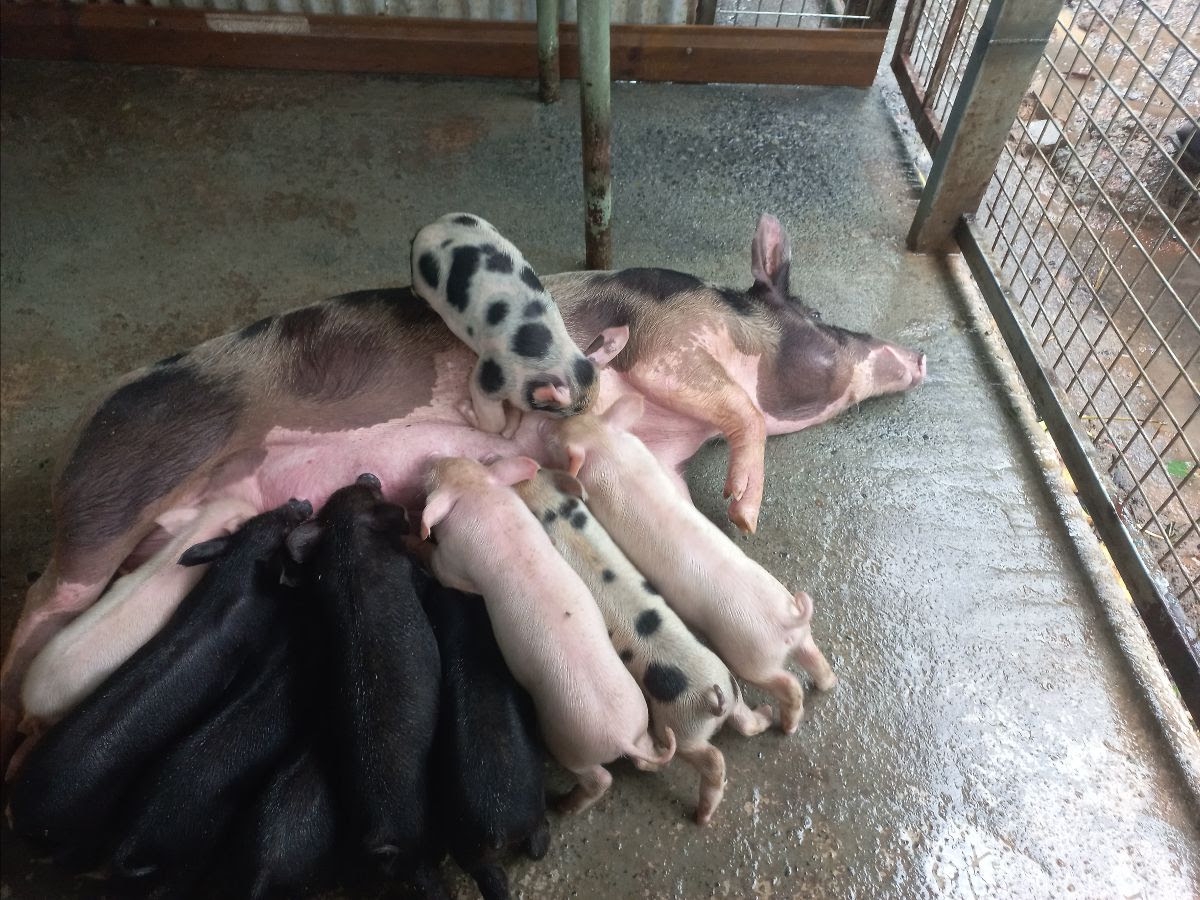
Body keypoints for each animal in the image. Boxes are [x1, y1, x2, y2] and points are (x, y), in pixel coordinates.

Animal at [410, 212, 598, 436]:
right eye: (563, 413)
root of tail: (429, 227)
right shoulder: (492, 374)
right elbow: (490, 415)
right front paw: (463, 406)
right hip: (419, 279)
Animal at [421, 456, 676, 813]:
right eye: (467, 461)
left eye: (432, 480)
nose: (431, 458)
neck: (480, 496)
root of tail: (623, 737)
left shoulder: (453, 560)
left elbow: (442, 569)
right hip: (640, 718)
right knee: (645, 758)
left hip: (569, 743)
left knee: (600, 779)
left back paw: (564, 807)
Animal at [515, 469, 773, 825]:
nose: (518, 473)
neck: (556, 514)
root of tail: (713, 698)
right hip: (731, 695)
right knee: (746, 722)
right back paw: (768, 715)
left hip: (680, 726)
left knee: (711, 759)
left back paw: (700, 816)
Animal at [542, 396, 837, 734]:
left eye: (557, 442)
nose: (546, 426)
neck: (608, 449)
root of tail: (788, 620)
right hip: (799, 636)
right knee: (814, 658)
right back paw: (827, 684)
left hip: (752, 656)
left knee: (786, 683)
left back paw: (787, 726)